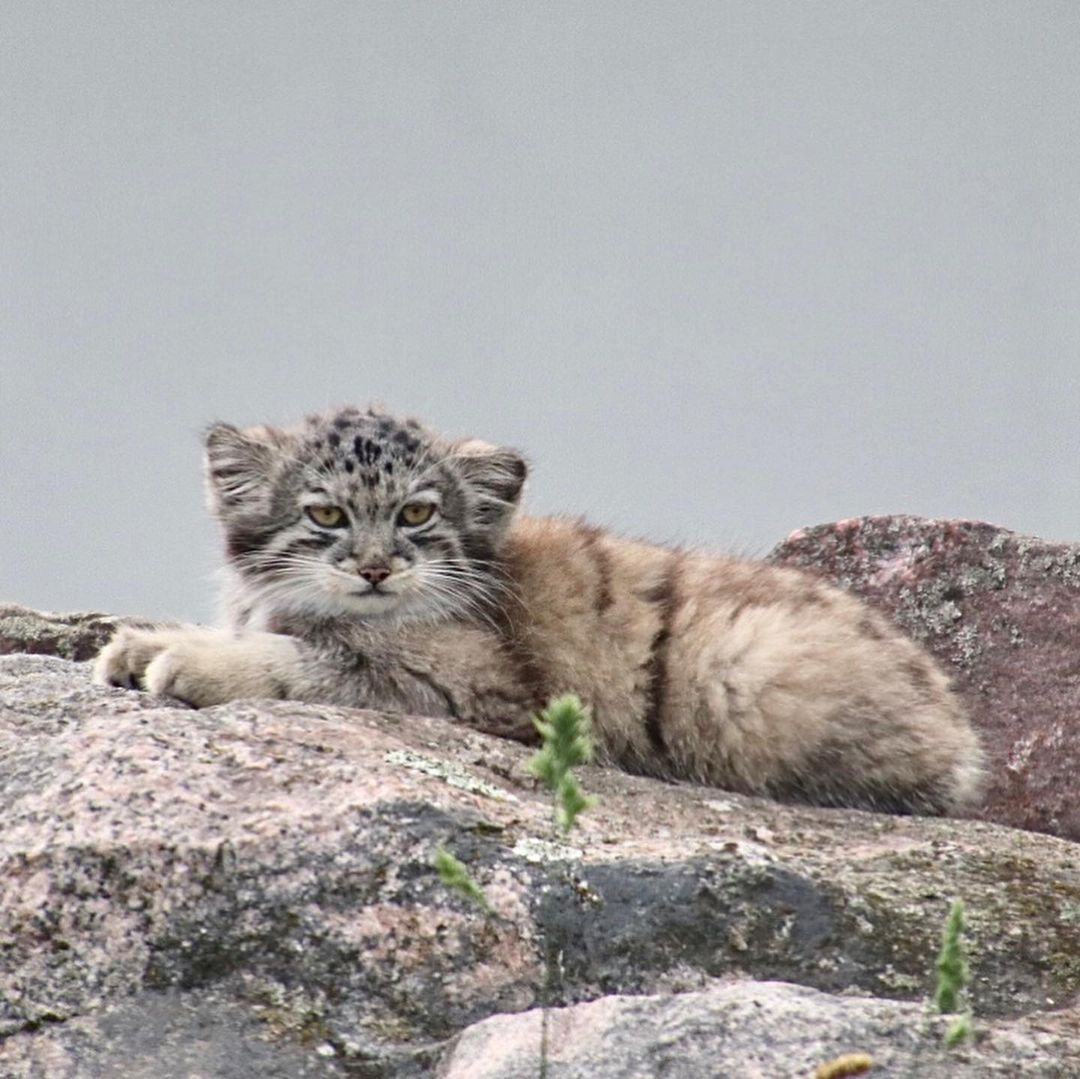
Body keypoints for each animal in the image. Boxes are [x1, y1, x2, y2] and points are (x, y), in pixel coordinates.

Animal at [95, 406, 989, 812]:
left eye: (417, 513)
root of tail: (957, 729)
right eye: (325, 514)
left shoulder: (472, 687)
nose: (378, 568)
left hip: (745, 672)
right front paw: (143, 641)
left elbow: (307, 663)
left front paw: (192, 661)